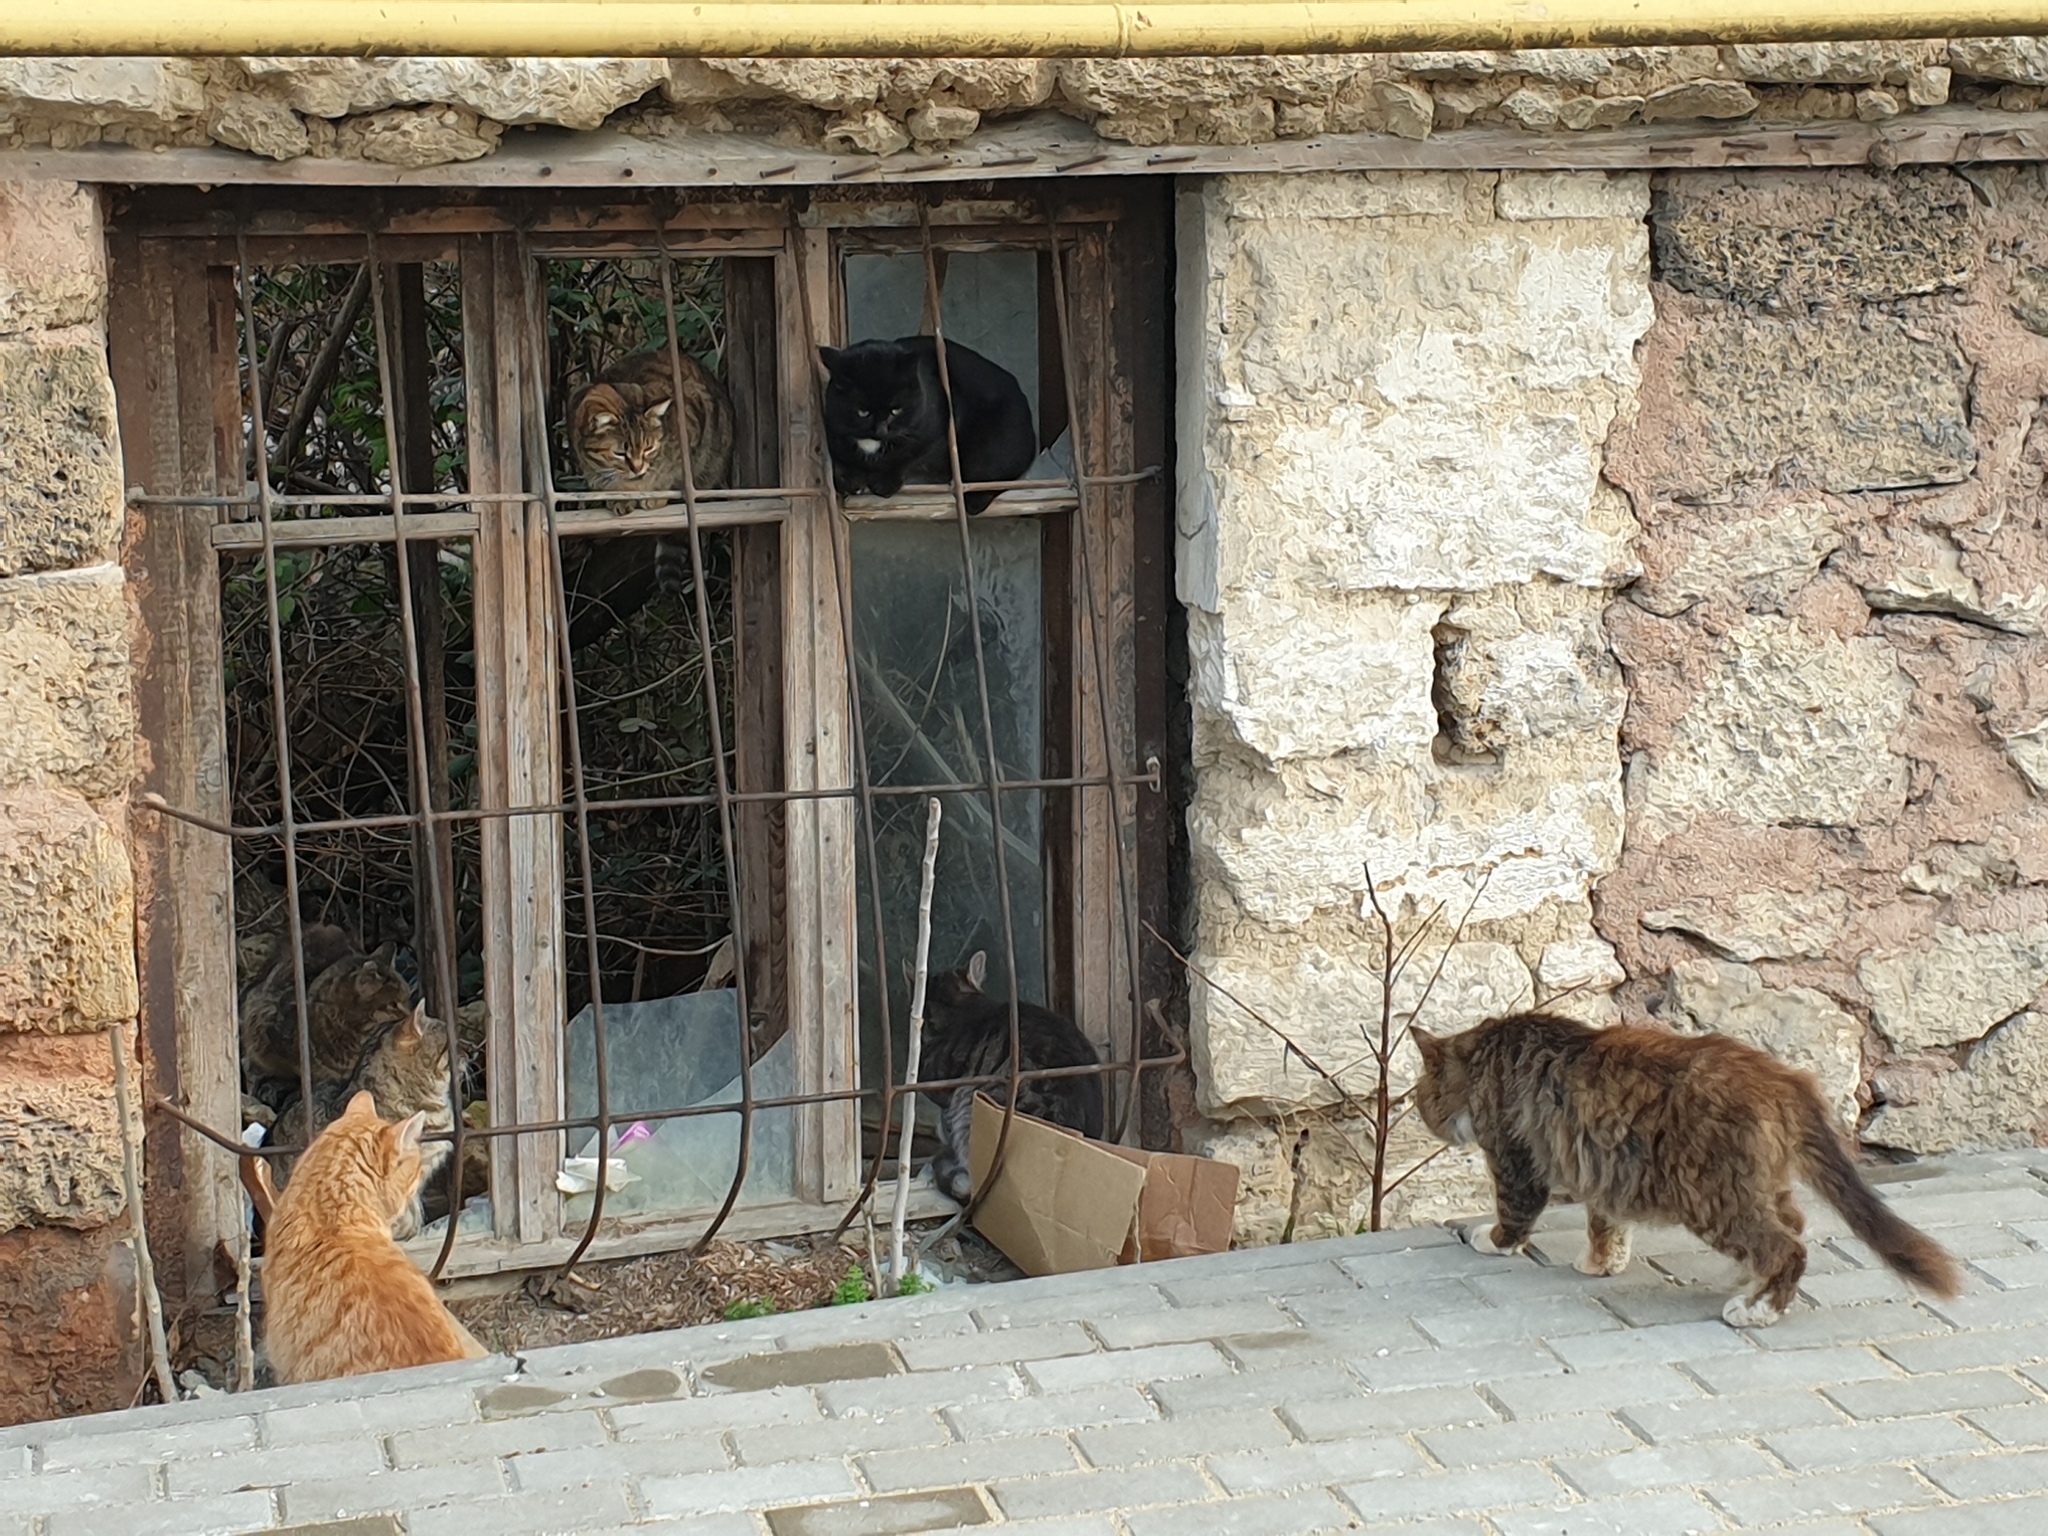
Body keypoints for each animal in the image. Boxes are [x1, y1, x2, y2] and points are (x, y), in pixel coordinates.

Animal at [569, 350, 737, 602]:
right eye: (620, 452)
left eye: (648, 448)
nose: (638, 468)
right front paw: (619, 498)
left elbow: (670, 473)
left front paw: (655, 495)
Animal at [819, 335, 1040, 518]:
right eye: (863, 412)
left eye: (895, 410)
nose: (880, 431)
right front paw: (849, 479)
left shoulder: (942, 424)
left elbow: (912, 455)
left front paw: (884, 482)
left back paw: (973, 502)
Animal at [1417, 1015, 1957, 1327]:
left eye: (1419, 1098)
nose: (1425, 1119)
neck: (1490, 1050)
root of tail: (1782, 1079)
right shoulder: (1606, 1166)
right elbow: (1607, 1224)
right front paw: (1602, 1263)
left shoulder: (1515, 1156)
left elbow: (1515, 1213)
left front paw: (1492, 1241)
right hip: (1755, 1182)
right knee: (1792, 1225)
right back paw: (1749, 1282)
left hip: (1710, 1195)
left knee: (1787, 1247)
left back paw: (1757, 1309)